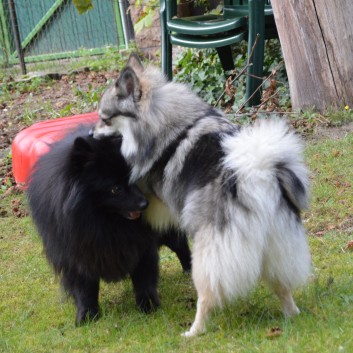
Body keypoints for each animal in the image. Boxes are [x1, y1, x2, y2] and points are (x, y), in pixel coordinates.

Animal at [26, 124, 190, 324]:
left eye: (135, 179)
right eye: (115, 189)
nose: (144, 204)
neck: (104, 222)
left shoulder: (141, 245)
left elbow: (144, 277)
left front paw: (148, 306)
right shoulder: (76, 254)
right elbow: (84, 288)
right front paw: (87, 315)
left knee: (181, 245)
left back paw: (189, 270)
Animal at [91, 54, 310, 336]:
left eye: (105, 119)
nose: (90, 133)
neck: (160, 119)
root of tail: (257, 173)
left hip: (208, 255)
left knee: (206, 297)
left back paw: (194, 331)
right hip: (275, 246)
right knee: (282, 285)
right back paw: (291, 313)